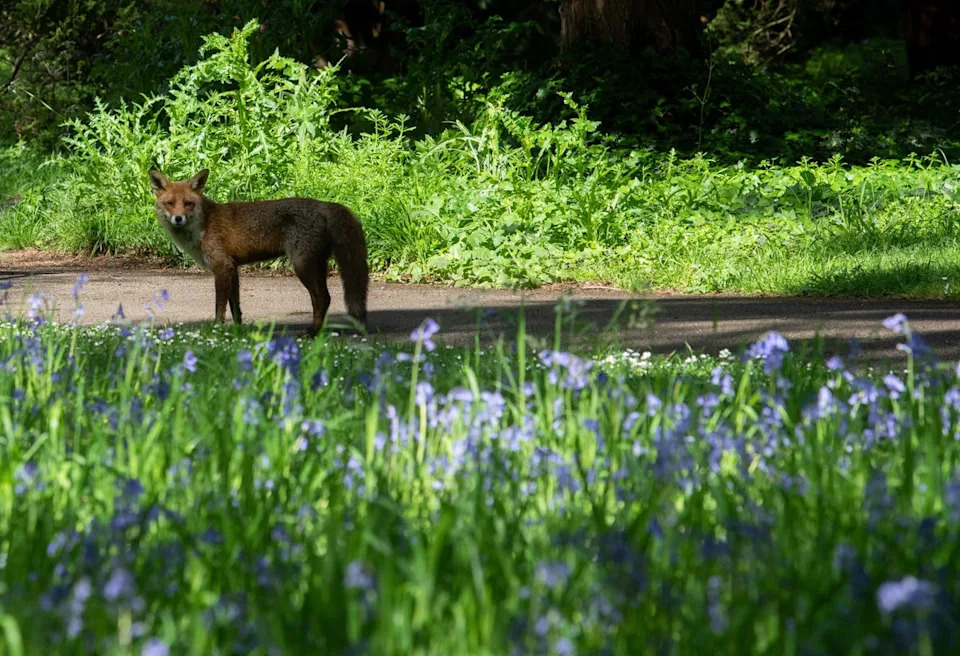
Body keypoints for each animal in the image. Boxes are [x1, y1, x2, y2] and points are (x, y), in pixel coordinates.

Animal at [148, 169, 368, 334]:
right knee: (326, 298)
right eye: (170, 204)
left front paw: (217, 330)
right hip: (317, 265)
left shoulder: (222, 267)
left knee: (322, 298)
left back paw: (314, 333)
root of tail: (323, 204)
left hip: (302, 265)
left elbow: (219, 307)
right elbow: (235, 307)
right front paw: (238, 332)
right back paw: (318, 331)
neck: (204, 224)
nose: (178, 218)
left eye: (188, 204)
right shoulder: (233, 268)